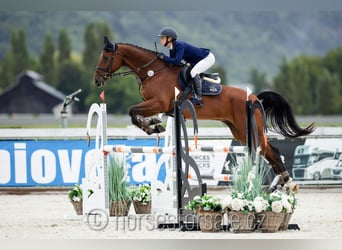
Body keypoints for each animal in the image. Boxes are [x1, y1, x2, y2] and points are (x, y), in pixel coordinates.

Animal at [93, 37, 316, 186]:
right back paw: (283, 183)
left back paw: (285, 182)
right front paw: (154, 125)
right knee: (268, 151)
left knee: (270, 150)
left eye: (105, 57)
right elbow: (136, 113)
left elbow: (133, 111)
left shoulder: (159, 103)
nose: (97, 80)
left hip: (250, 131)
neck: (152, 71)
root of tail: (255, 98)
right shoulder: (154, 104)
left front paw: (152, 127)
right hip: (240, 132)